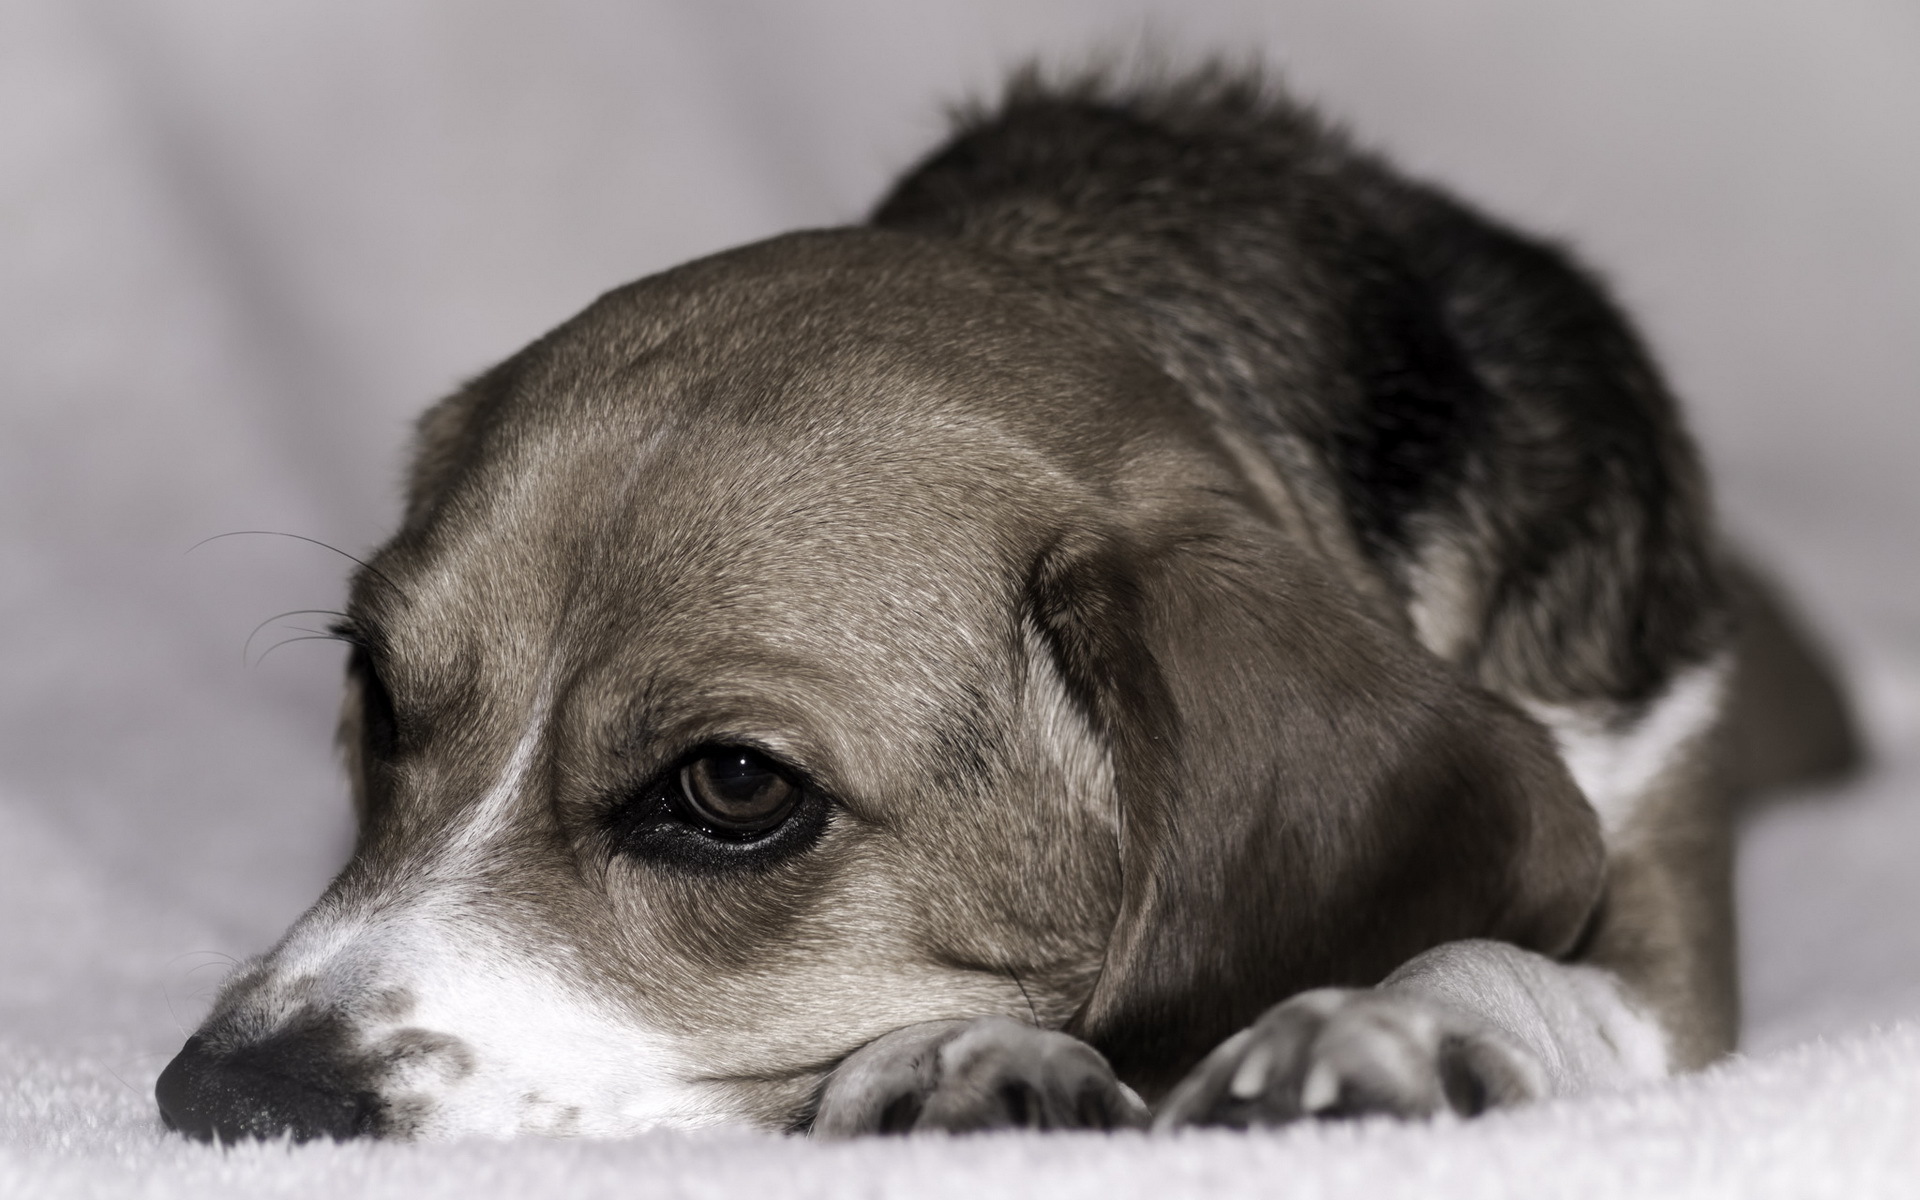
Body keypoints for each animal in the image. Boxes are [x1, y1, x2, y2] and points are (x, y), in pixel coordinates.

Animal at [157, 67, 1850, 1144]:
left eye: (732, 788)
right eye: (379, 692)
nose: (225, 1102)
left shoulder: (1658, 890)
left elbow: (1516, 962)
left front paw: (1388, 1026)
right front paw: (958, 1049)